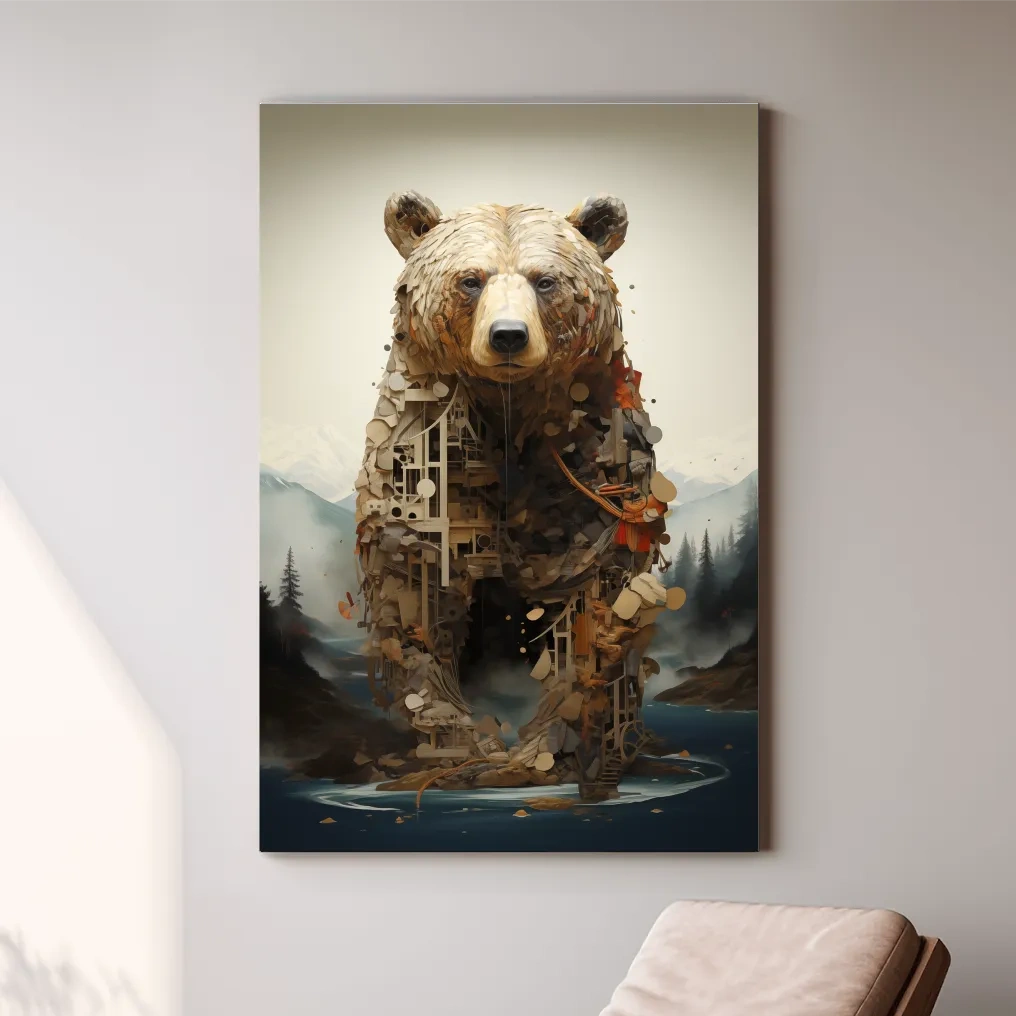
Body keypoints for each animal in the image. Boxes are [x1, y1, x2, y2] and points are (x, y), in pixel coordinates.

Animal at [353, 191, 682, 799]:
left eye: (544, 280)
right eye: (471, 280)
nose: (508, 335)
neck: (509, 413)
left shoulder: (590, 473)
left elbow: (590, 609)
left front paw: (545, 751)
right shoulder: (423, 471)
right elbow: (417, 602)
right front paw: (464, 749)